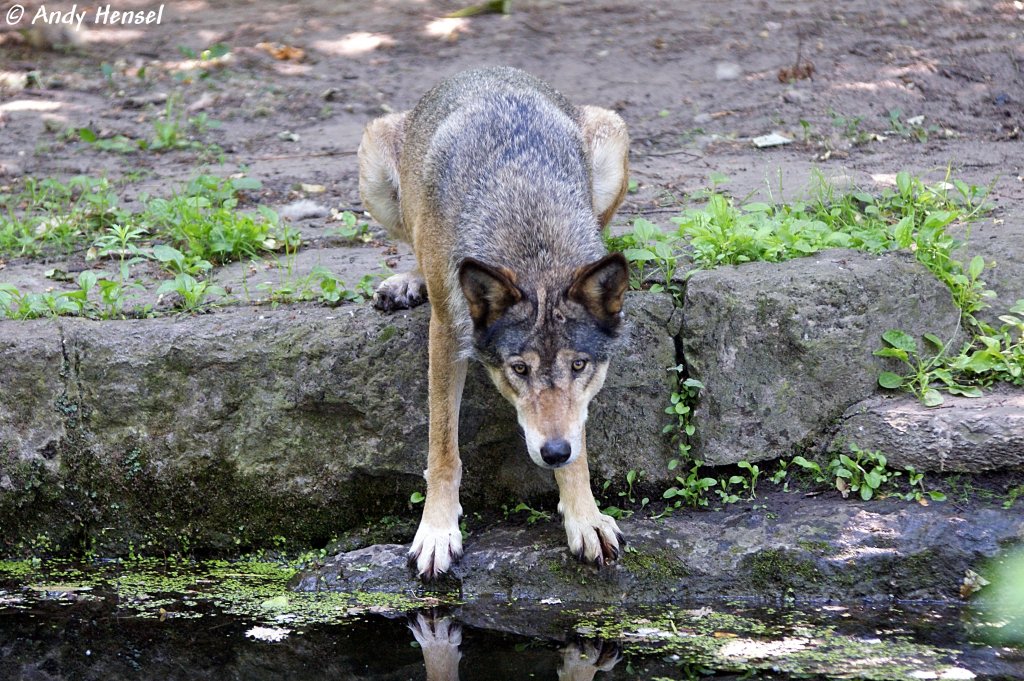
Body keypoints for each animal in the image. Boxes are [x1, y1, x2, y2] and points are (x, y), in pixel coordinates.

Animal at [358, 66, 630, 579]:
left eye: (580, 366)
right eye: (519, 369)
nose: (553, 452)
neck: (531, 236)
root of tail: (484, 68)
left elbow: (580, 445)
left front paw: (585, 518)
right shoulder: (447, 334)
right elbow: (442, 449)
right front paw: (437, 533)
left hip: (613, 136)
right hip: (374, 162)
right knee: (412, 244)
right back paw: (407, 282)